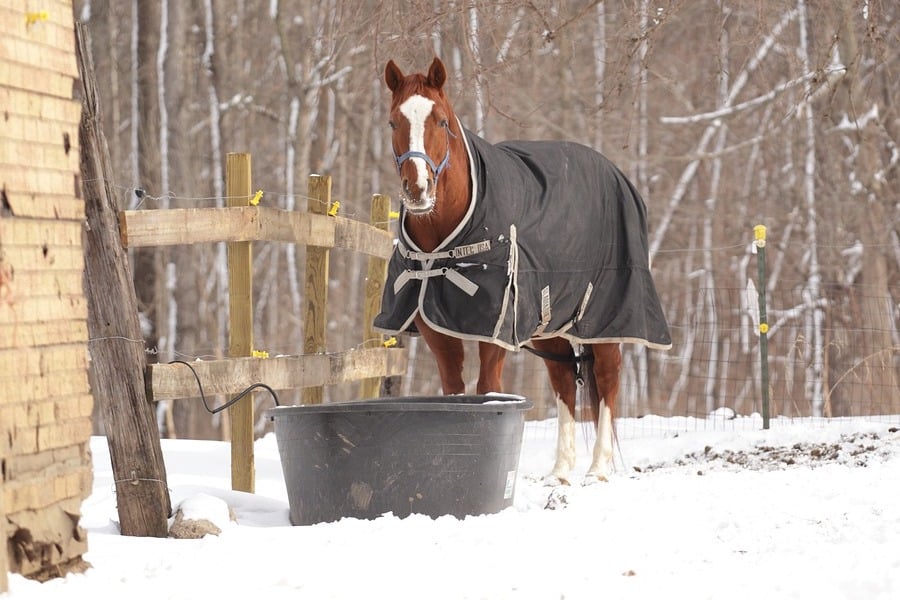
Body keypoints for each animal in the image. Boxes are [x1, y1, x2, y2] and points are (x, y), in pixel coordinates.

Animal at [375, 57, 671, 485]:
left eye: (442, 121)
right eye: (393, 122)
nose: (418, 189)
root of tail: (618, 176)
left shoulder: (495, 332)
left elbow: (488, 389)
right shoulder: (438, 332)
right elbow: (454, 393)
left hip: (605, 321)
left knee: (608, 379)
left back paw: (597, 468)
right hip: (552, 327)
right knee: (564, 381)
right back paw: (560, 470)